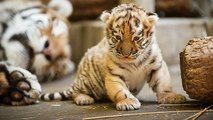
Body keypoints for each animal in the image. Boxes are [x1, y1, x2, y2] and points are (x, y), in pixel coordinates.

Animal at [40, 3, 186, 110]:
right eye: (117, 38)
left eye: (136, 38)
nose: (126, 54)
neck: (134, 62)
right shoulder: (114, 75)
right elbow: (120, 90)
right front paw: (128, 102)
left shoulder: (157, 66)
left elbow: (163, 82)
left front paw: (171, 96)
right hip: (88, 81)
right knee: (76, 92)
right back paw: (84, 99)